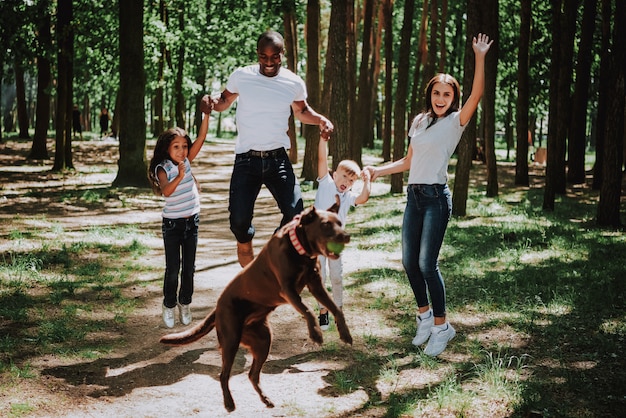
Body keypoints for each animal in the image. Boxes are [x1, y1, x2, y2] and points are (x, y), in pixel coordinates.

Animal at [160, 202, 352, 412]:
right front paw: (316, 333)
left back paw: (265, 399)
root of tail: (218, 307)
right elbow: (307, 309)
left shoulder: (315, 284)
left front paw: (345, 334)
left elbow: (336, 308)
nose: (347, 236)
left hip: (263, 340)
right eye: (325, 225)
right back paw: (229, 403)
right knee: (223, 375)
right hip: (231, 340)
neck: (299, 250)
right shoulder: (288, 289)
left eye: (340, 222)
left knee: (252, 375)